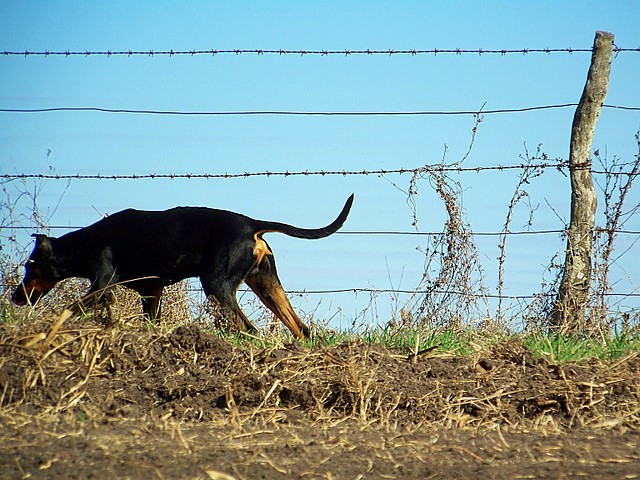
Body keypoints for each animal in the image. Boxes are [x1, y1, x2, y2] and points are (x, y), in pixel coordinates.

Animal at [11, 194, 356, 338]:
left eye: (30, 267)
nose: (15, 297)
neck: (87, 243)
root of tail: (252, 225)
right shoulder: (151, 293)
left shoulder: (101, 287)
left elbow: (69, 309)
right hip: (266, 284)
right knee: (300, 328)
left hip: (217, 286)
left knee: (249, 328)